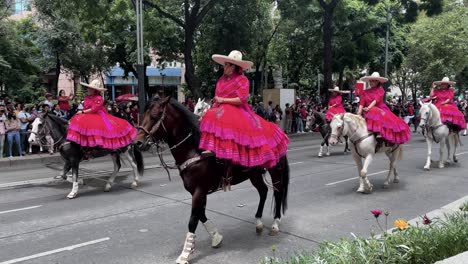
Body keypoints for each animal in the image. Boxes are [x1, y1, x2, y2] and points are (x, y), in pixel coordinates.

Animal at [134, 97, 288, 264]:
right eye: (143, 114)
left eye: (155, 116)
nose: (138, 142)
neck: (196, 150)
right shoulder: (197, 192)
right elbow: (201, 214)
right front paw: (216, 237)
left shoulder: (199, 191)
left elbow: (193, 220)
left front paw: (185, 255)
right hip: (254, 174)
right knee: (263, 191)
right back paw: (259, 223)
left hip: (275, 171)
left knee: (278, 193)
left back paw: (275, 225)